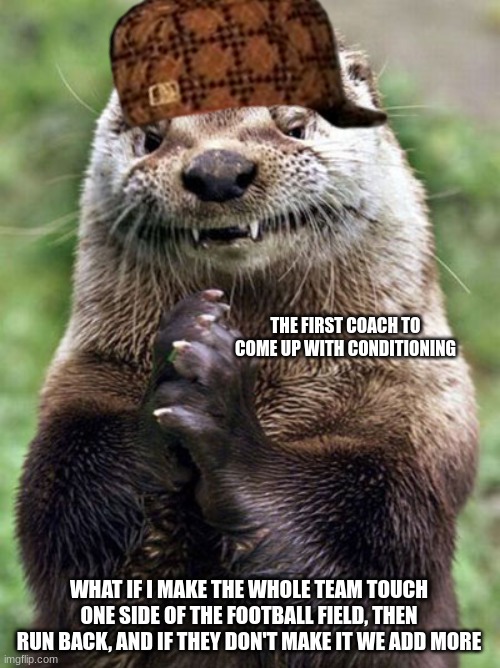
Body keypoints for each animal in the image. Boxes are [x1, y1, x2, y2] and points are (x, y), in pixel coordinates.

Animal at [17, 43, 477, 668]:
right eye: (152, 137)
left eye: (294, 124)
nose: (217, 169)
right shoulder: (81, 391)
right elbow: (70, 517)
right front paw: (182, 350)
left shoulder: (418, 430)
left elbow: (367, 554)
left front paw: (228, 426)